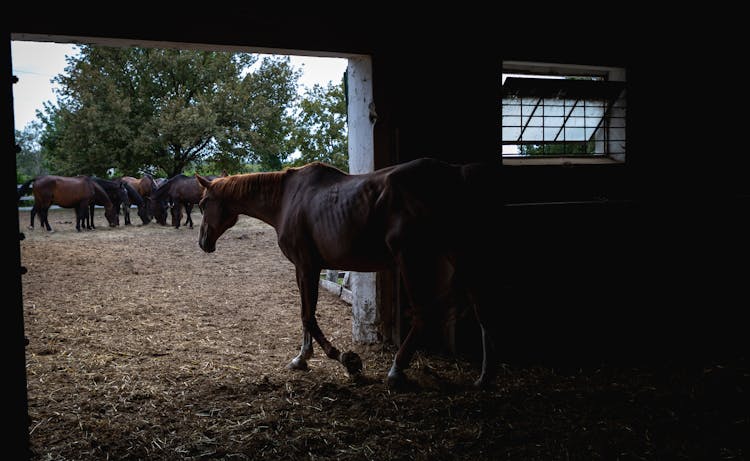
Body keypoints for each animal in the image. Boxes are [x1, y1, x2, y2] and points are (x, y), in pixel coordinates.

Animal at [197, 158, 502, 388]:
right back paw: (485, 377)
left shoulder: (307, 267)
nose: (203, 243)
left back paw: (397, 371)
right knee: (482, 310)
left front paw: (345, 360)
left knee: (424, 314)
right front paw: (302, 357)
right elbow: (305, 314)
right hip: (460, 257)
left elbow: (308, 316)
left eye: (202, 204)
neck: (286, 199)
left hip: (412, 261)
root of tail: (454, 173)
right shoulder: (303, 269)